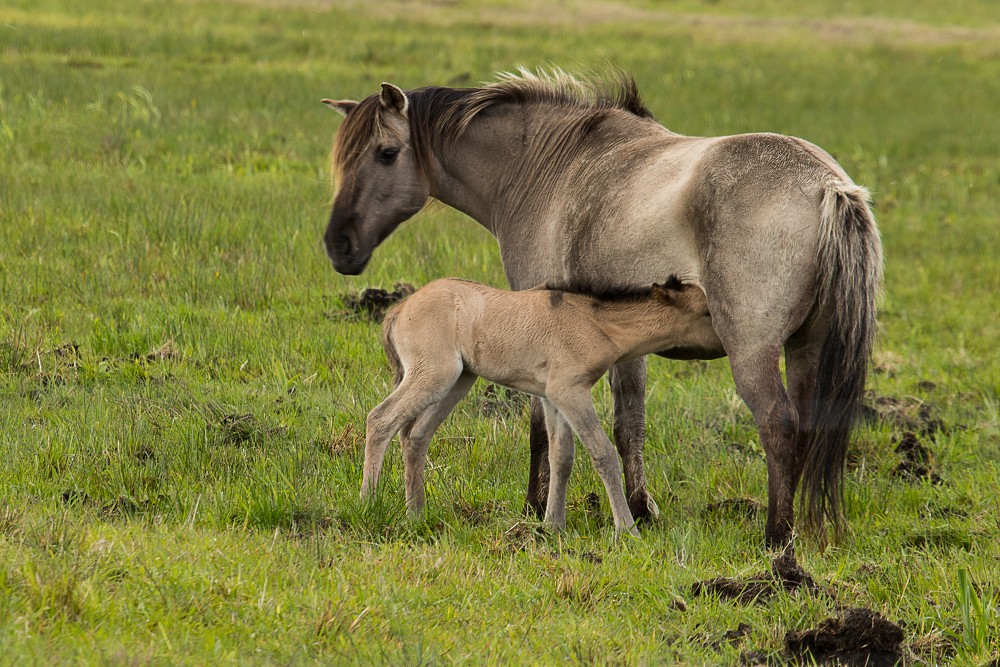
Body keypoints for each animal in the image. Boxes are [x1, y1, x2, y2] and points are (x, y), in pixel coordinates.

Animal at [360, 276, 720, 536]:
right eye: (705, 312)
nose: (724, 343)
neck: (595, 324)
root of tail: (399, 310)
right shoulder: (570, 391)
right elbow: (602, 453)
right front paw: (627, 529)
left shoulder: (551, 397)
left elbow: (562, 456)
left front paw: (552, 525)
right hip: (436, 374)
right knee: (381, 420)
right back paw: (369, 504)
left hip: (459, 380)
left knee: (415, 434)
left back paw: (416, 514)